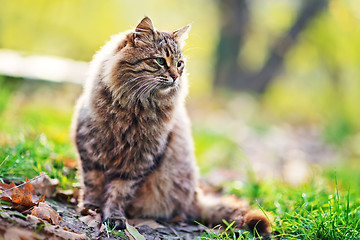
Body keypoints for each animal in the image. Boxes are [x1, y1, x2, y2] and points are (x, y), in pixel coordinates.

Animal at [71, 16, 272, 236]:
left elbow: (119, 193)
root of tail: (195, 198)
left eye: (179, 63)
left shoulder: (138, 161)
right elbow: (92, 184)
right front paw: (90, 208)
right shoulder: (90, 149)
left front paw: (114, 217)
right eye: (160, 61)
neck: (134, 107)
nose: (176, 76)